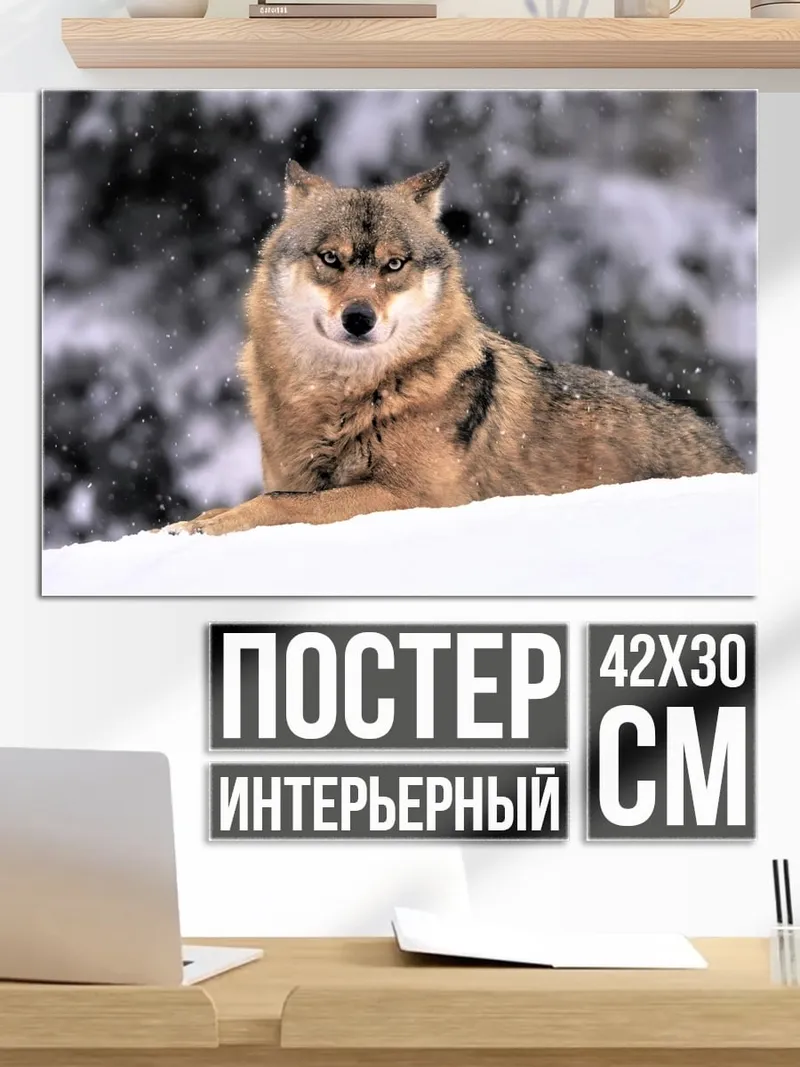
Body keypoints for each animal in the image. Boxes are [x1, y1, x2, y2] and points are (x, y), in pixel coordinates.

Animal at [162, 160, 744, 536]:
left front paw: (205, 529)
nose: (359, 319)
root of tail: (731, 454)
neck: (341, 400)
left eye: (394, 264)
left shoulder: (410, 496)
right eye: (331, 258)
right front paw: (190, 523)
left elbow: (280, 504)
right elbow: (266, 496)